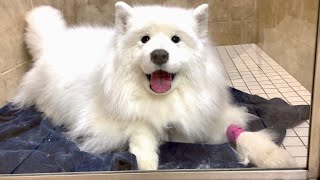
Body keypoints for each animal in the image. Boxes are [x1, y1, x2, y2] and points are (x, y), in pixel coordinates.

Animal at [13, 1, 296, 170]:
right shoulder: (112, 120)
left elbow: (240, 132)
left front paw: (274, 157)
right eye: (145, 39)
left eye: (175, 40)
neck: (164, 99)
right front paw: (147, 164)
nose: (159, 54)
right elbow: (143, 132)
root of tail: (56, 39)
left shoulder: (202, 115)